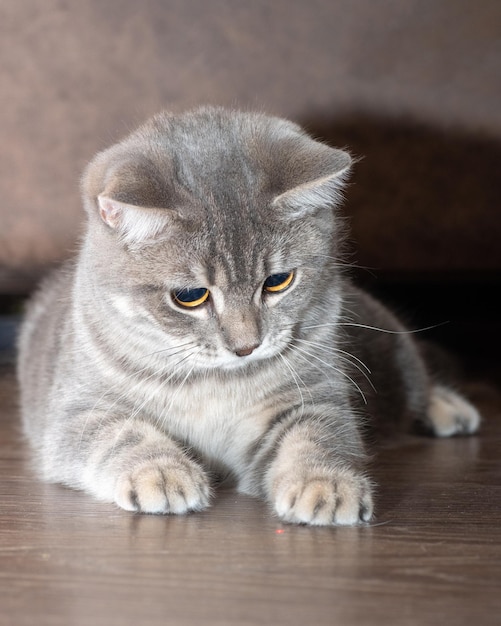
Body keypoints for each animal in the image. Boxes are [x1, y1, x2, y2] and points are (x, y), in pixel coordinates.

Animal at [16, 106, 480, 520]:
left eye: (277, 281)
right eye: (190, 295)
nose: (246, 346)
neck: (215, 384)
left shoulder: (315, 395)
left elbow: (316, 435)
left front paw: (326, 484)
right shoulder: (77, 413)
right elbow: (120, 434)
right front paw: (163, 473)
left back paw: (448, 408)